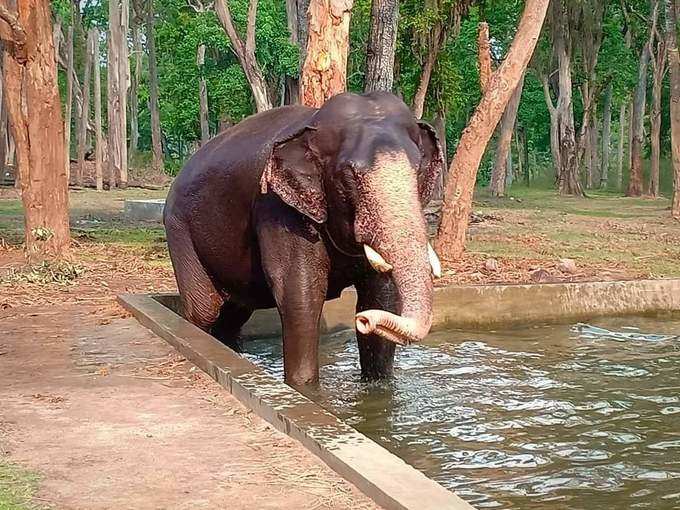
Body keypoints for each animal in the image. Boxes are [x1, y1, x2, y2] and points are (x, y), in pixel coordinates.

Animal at [165, 92, 446, 386]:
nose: (362, 320)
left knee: (235, 312)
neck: (312, 121)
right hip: (179, 230)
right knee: (205, 310)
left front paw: (379, 385)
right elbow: (300, 293)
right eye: (349, 174)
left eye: (417, 167)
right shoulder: (277, 209)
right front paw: (304, 387)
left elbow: (381, 294)